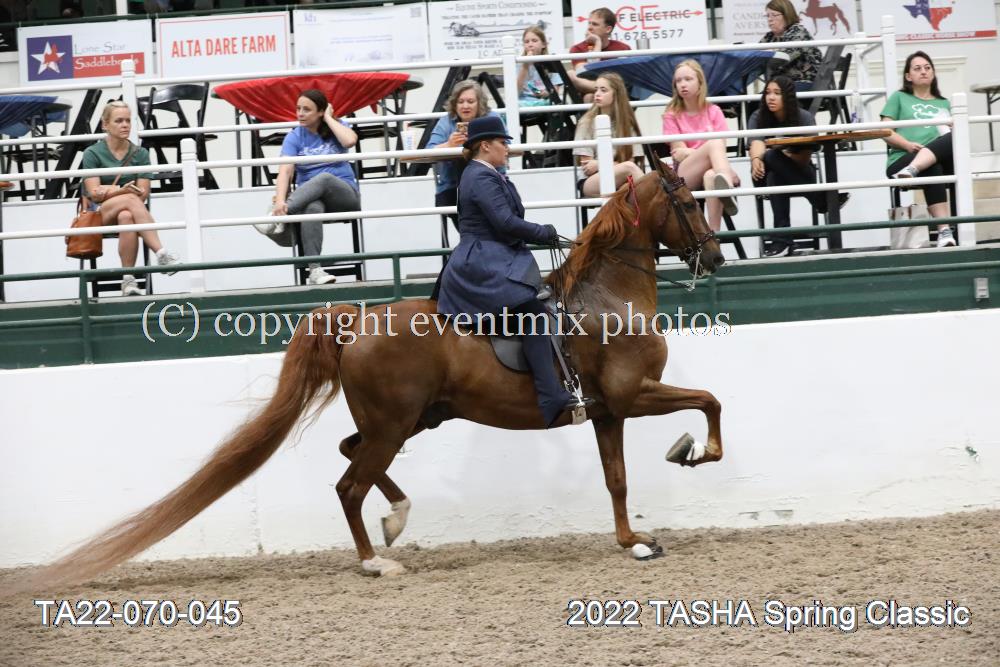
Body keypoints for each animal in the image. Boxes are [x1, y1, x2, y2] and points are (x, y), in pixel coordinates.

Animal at [29, 161, 726, 585]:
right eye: (690, 201)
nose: (716, 258)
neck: (608, 297)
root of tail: (356, 320)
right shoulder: (633, 395)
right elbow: (709, 401)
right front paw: (693, 451)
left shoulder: (608, 411)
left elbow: (617, 480)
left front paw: (634, 541)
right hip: (396, 422)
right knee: (348, 485)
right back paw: (374, 561)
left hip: (410, 419)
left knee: (352, 457)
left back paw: (396, 518)